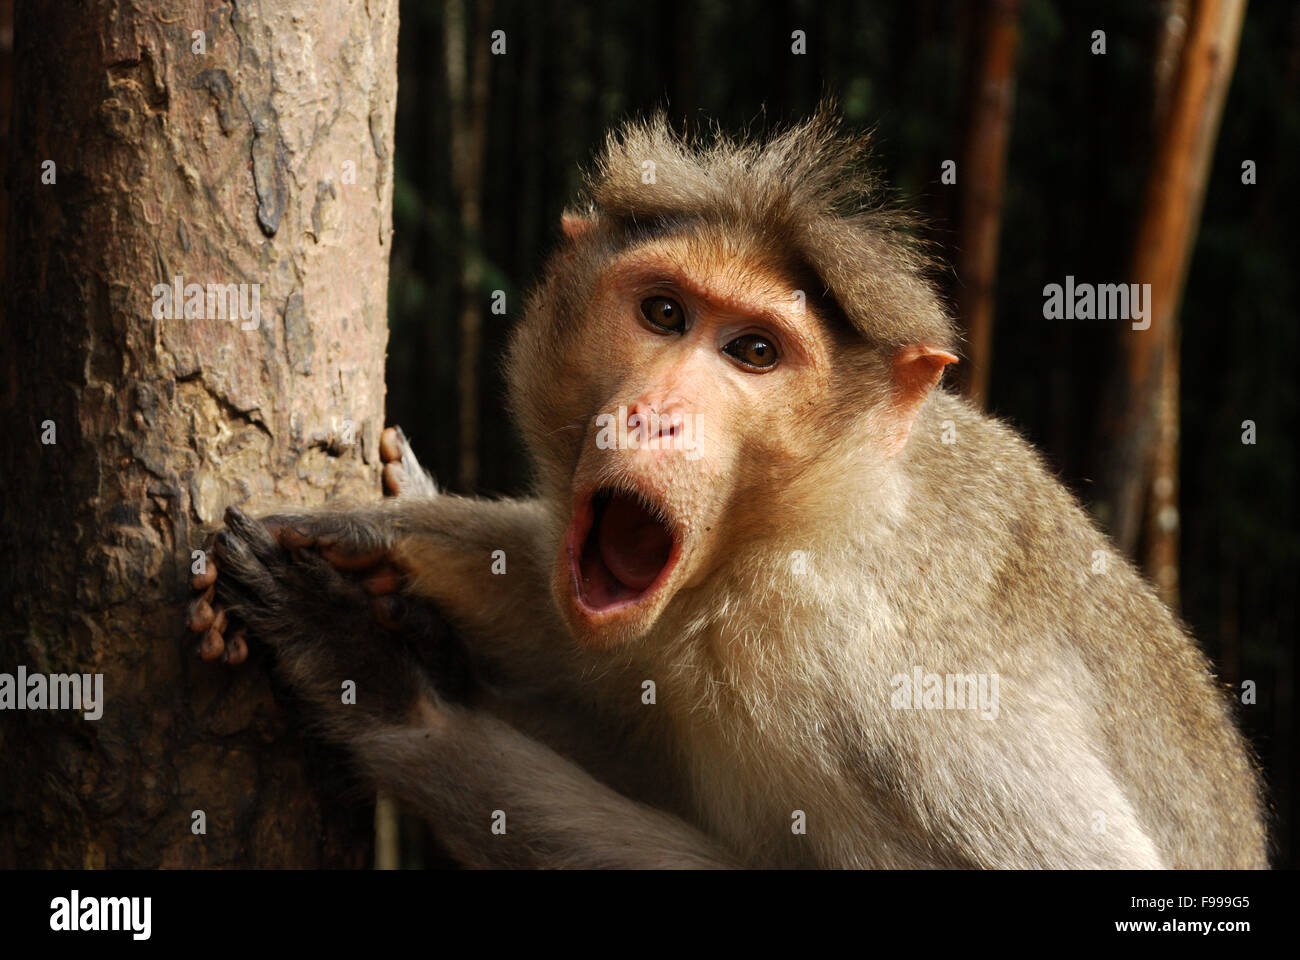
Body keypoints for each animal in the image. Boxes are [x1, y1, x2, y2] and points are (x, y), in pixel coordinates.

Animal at [189, 109, 1268, 869]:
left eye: (753, 353)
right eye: (664, 314)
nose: (656, 417)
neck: (790, 532)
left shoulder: (868, 685)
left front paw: (378, 682)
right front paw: (394, 539)